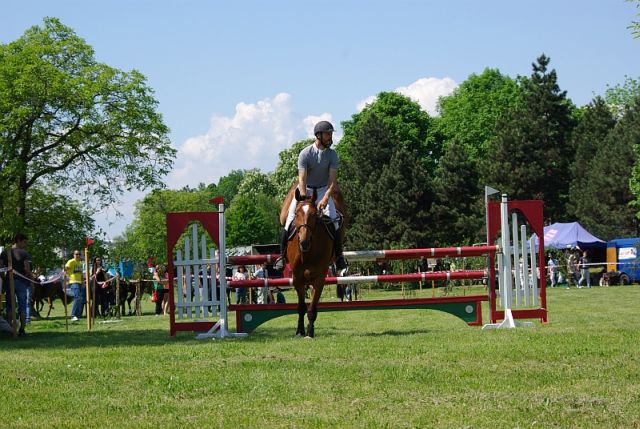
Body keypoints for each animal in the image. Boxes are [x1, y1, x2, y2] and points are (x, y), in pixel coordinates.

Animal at [287, 188, 336, 338]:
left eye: (314, 214)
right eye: (296, 213)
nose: (304, 242)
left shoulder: (319, 279)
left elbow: (312, 308)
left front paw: (309, 332)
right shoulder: (297, 279)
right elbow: (301, 307)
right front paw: (299, 331)